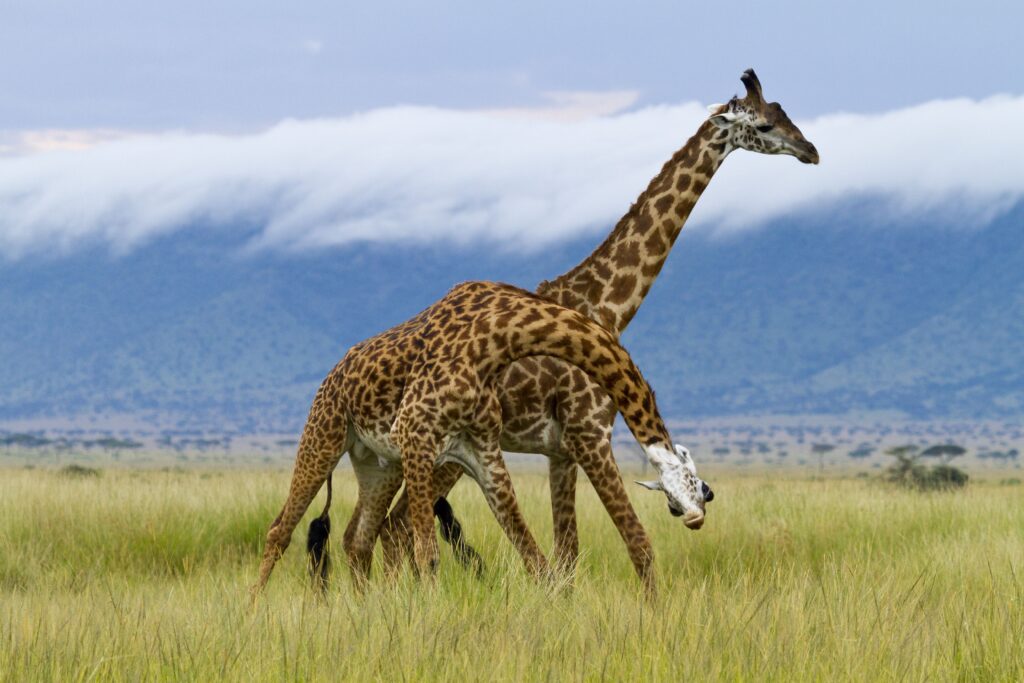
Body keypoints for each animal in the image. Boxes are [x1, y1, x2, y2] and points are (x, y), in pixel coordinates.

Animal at [252, 280, 710, 595]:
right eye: (690, 488)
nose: (698, 513)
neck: (498, 339)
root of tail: (333, 374)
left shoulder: (482, 451)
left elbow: (533, 555)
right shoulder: (415, 431)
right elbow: (428, 553)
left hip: (377, 464)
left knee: (358, 538)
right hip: (324, 434)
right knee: (279, 530)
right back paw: (254, 611)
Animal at [375, 69, 818, 591]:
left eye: (785, 112)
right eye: (765, 126)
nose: (811, 150)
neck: (606, 306)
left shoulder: (560, 451)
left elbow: (568, 554)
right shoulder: (589, 434)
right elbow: (638, 545)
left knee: (391, 527)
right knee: (395, 527)